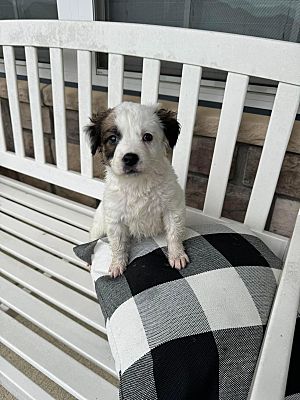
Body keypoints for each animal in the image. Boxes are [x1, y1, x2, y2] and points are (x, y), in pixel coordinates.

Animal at [85, 102, 188, 278]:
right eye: (113, 139)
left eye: (147, 137)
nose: (130, 158)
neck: (137, 184)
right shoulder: (115, 219)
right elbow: (118, 245)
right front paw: (117, 264)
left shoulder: (173, 207)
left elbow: (174, 233)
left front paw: (177, 255)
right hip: (99, 226)